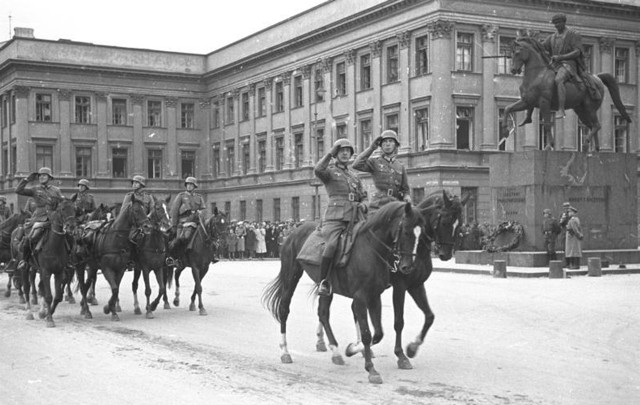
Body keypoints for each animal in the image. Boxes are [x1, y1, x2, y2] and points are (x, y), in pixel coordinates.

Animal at [260, 200, 424, 384]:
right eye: (407, 231)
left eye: (421, 234)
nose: (408, 267)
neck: (370, 248)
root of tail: (293, 232)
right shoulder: (361, 297)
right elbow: (367, 334)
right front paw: (371, 369)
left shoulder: (374, 296)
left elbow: (378, 333)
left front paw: (352, 349)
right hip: (291, 274)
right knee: (284, 309)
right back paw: (285, 351)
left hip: (326, 288)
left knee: (323, 313)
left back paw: (336, 352)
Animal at [502, 36, 632, 152]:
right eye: (511, 52)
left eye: (517, 52)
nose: (513, 70)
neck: (538, 74)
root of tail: (597, 77)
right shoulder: (526, 102)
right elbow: (508, 108)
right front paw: (505, 130)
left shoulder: (544, 102)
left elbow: (547, 124)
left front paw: (548, 146)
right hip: (581, 111)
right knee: (592, 126)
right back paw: (594, 149)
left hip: (589, 108)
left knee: (597, 125)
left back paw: (586, 145)